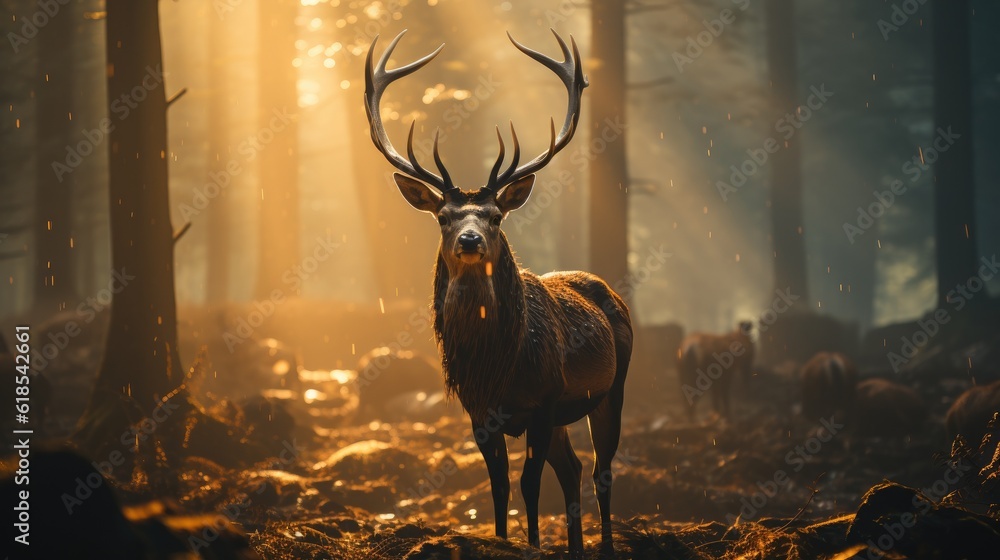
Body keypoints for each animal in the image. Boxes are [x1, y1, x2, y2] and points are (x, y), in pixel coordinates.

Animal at [366, 31, 632, 560]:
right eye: (443, 217)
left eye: (494, 216)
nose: (470, 240)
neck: (499, 365)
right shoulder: (479, 410)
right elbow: (500, 487)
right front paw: (504, 540)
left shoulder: (545, 399)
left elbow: (529, 485)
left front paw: (531, 544)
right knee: (572, 470)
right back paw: (576, 546)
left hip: (613, 388)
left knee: (601, 470)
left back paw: (607, 546)